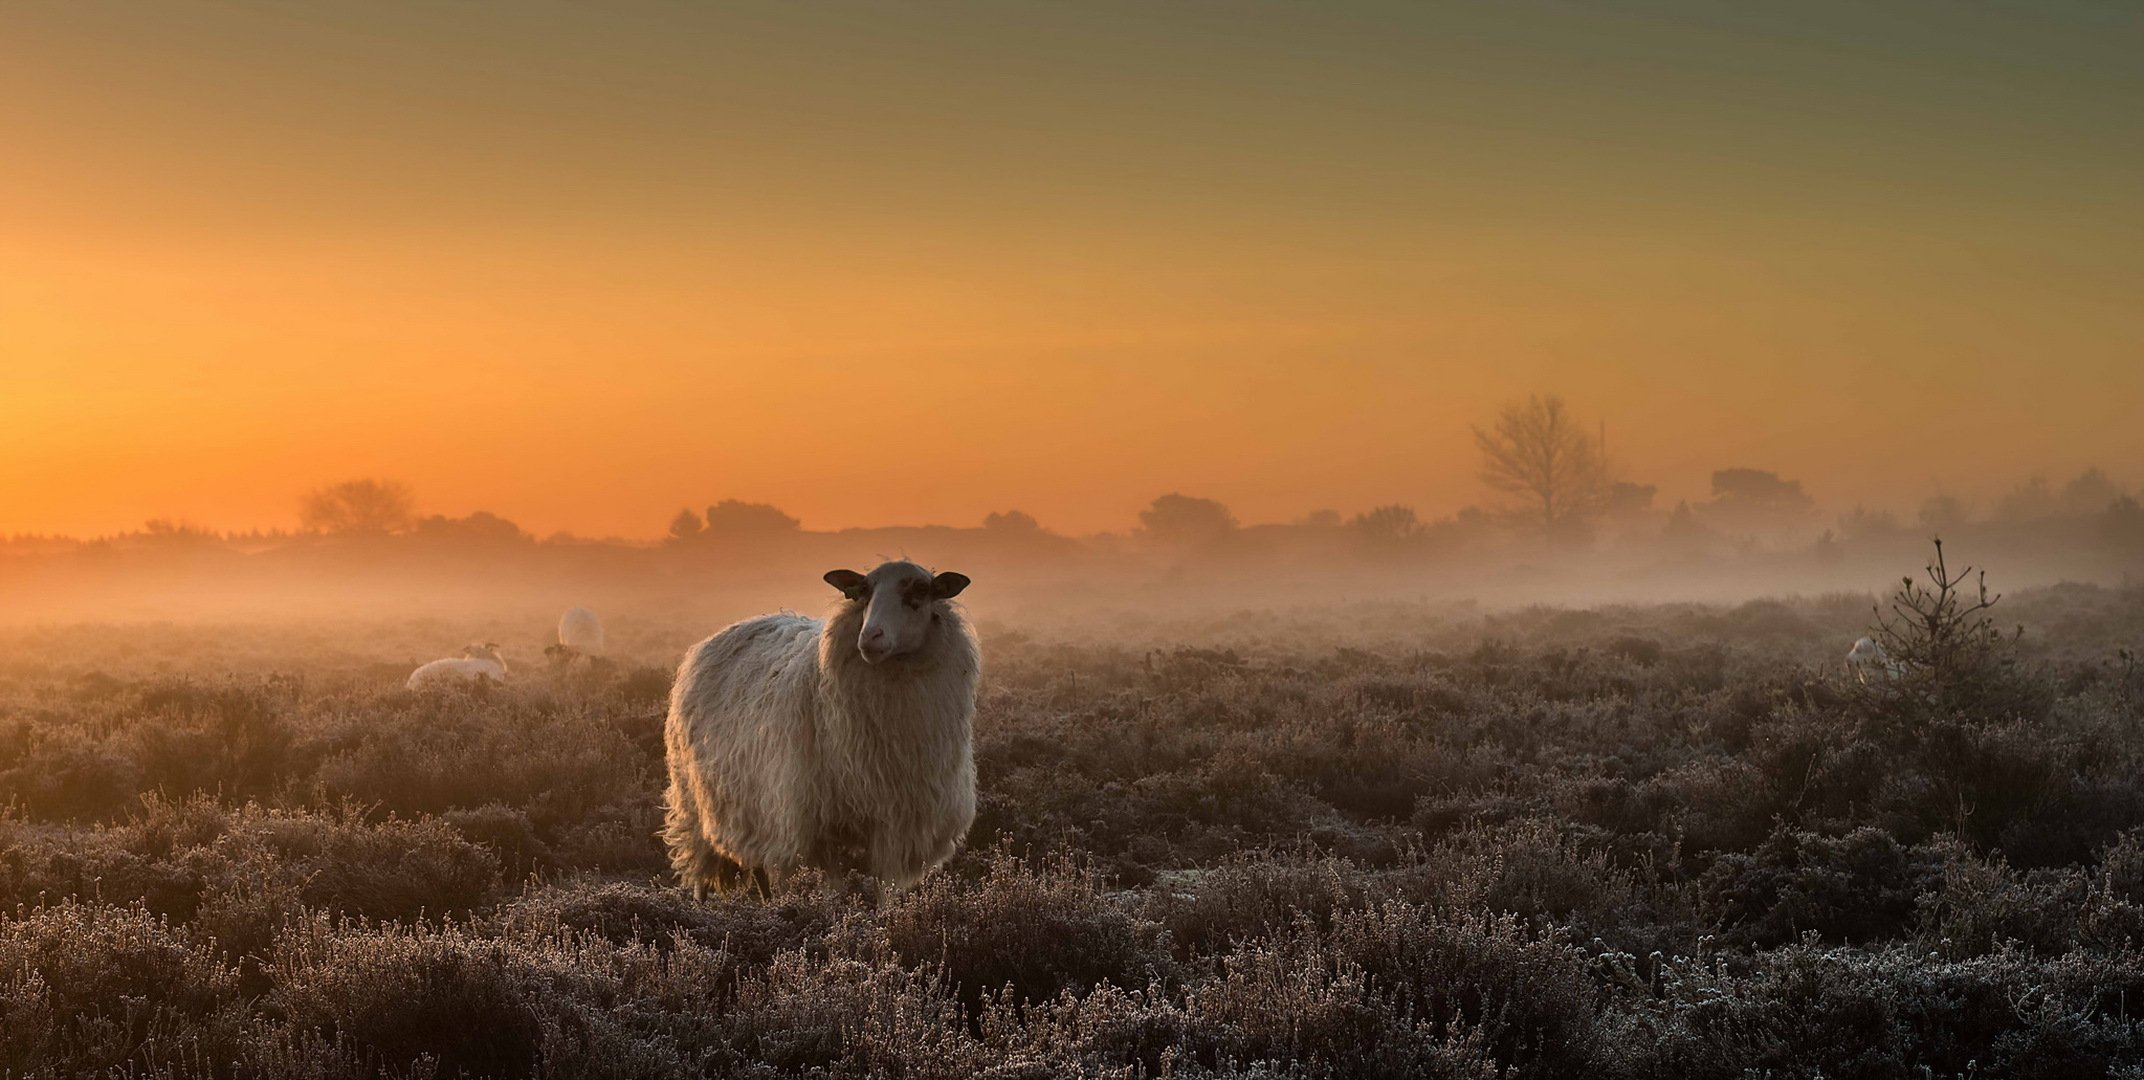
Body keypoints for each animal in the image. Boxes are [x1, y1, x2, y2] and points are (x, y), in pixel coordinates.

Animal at [662, 560, 978, 898]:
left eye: (919, 590)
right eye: (863, 591)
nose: (870, 637)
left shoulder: (892, 827)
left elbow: (884, 894)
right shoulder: (817, 829)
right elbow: (834, 892)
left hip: (751, 809)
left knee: (758, 869)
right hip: (695, 802)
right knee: (701, 873)